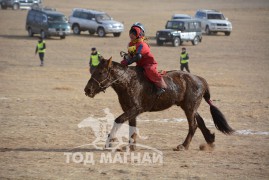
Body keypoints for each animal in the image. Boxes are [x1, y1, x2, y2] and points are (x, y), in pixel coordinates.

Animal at [84, 57, 232, 150]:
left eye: (100, 72)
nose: (87, 90)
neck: (128, 81)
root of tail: (200, 79)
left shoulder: (136, 109)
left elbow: (118, 120)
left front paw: (110, 142)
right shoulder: (131, 111)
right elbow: (132, 127)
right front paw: (131, 146)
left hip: (189, 108)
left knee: (193, 125)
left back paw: (184, 146)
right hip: (189, 107)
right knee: (200, 121)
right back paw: (210, 141)